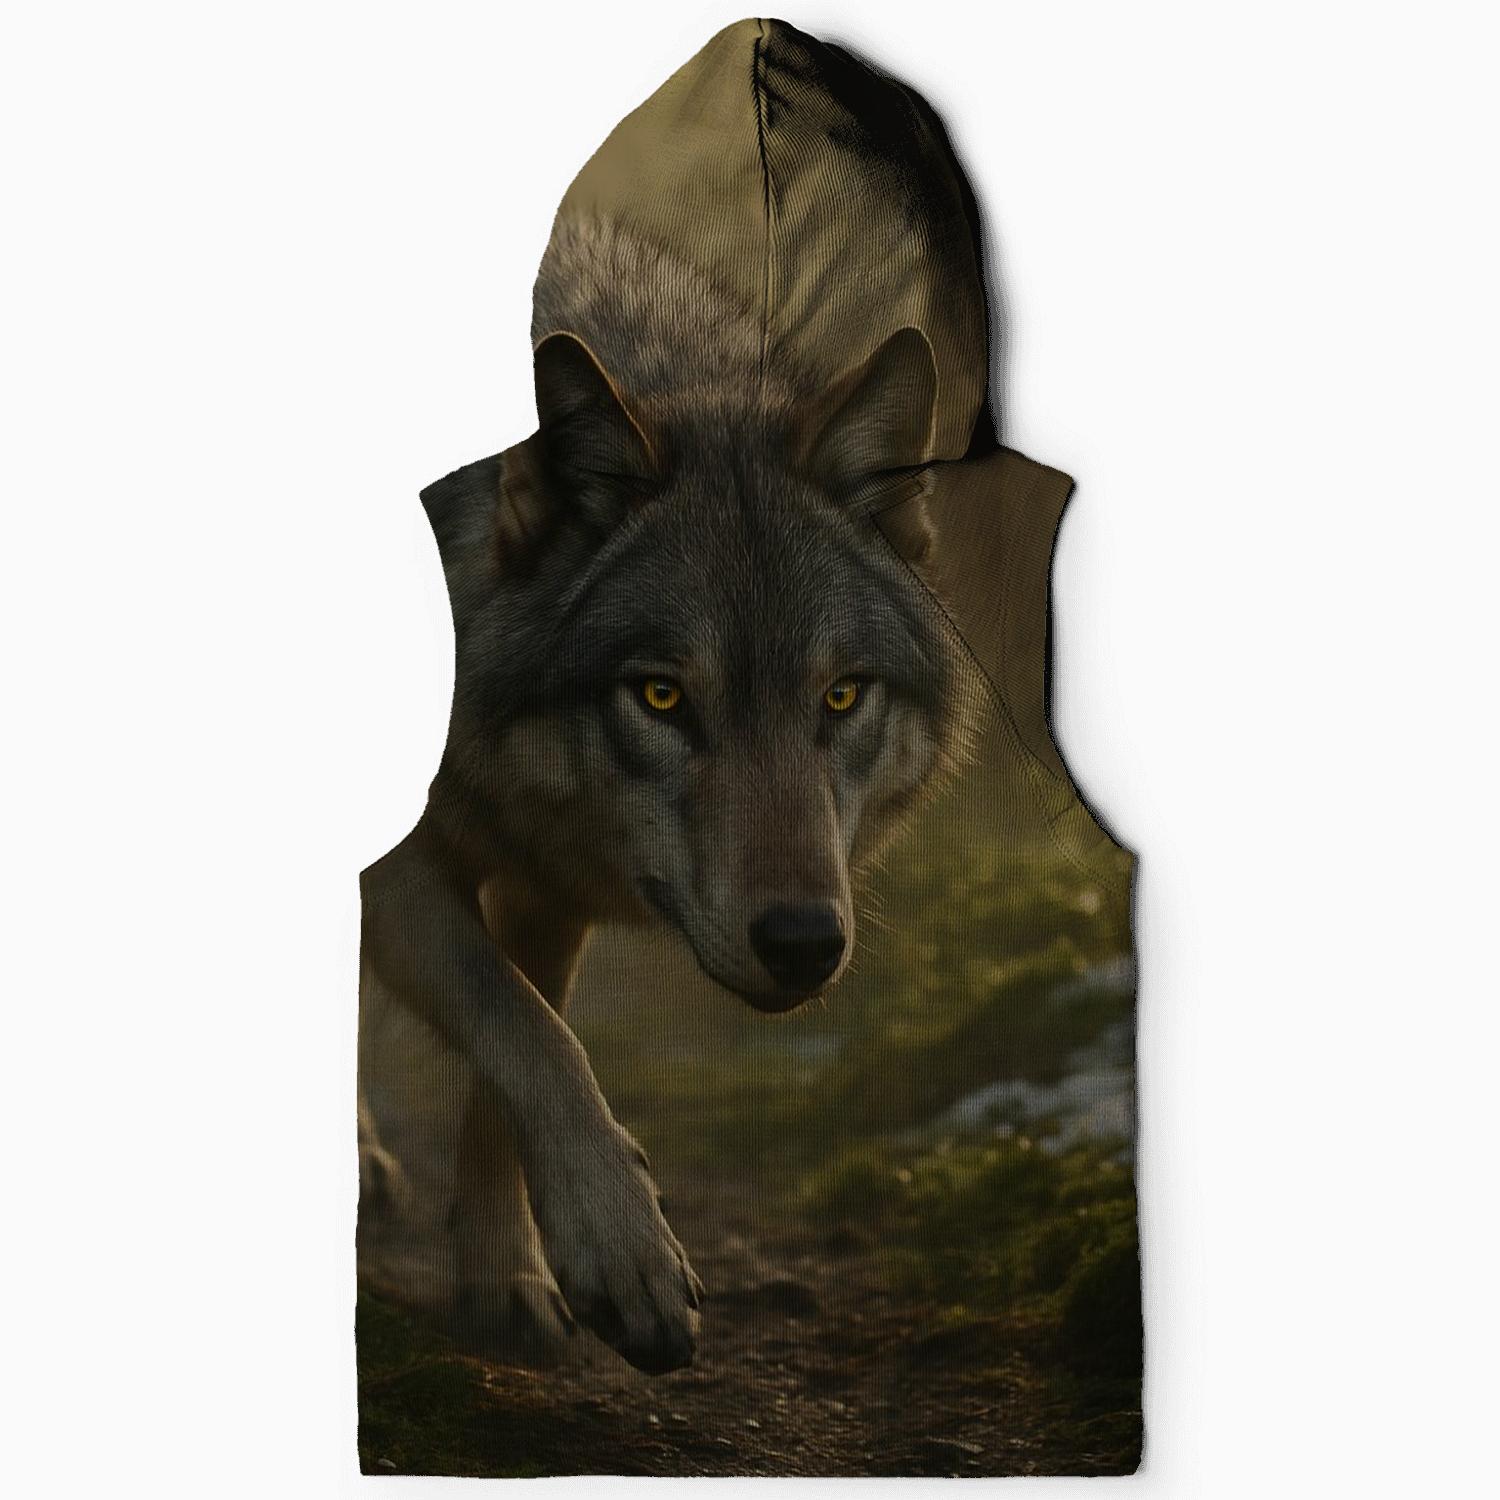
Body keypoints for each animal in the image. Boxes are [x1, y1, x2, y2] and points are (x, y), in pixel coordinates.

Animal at [358, 222, 972, 1375]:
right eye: (661, 694)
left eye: (840, 695)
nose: (803, 943)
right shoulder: (400, 867)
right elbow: (530, 1033)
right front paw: (622, 1248)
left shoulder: (546, 885)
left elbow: (514, 1057)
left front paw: (509, 1280)